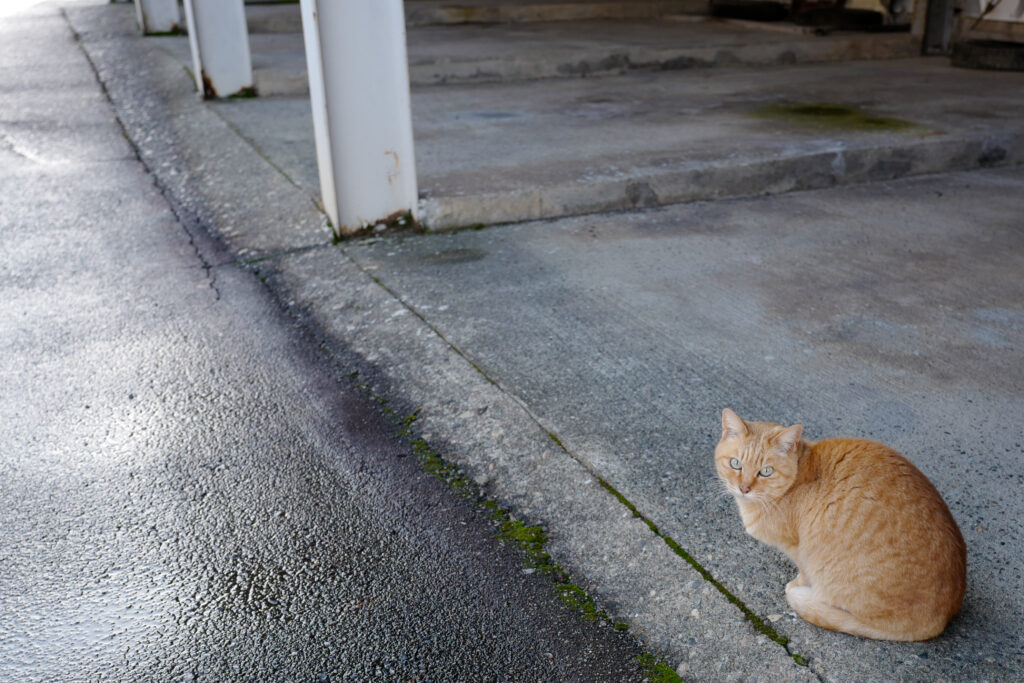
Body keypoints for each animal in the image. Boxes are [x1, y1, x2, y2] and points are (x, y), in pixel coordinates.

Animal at [716, 409, 962, 643]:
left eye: (766, 471)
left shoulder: (797, 549)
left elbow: (803, 572)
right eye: (735, 464)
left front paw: (798, 583)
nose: (744, 488)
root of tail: (942, 620)